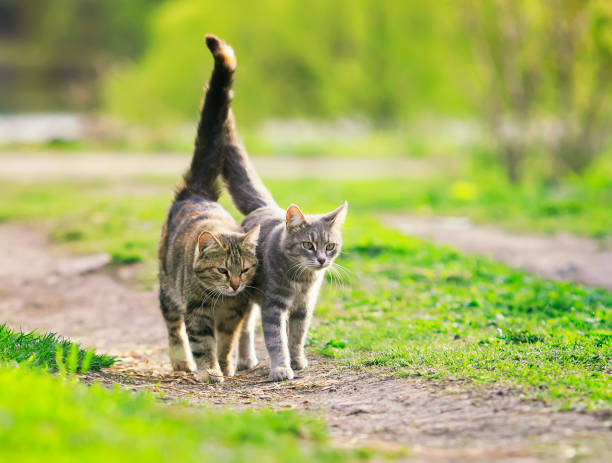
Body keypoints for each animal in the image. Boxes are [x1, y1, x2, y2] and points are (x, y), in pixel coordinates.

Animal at [157, 35, 260, 384]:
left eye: (245, 269)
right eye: (222, 270)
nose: (235, 285)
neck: (222, 299)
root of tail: (197, 191)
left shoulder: (236, 311)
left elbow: (226, 342)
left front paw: (226, 365)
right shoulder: (197, 310)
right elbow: (203, 343)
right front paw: (210, 371)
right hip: (167, 288)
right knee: (173, 327)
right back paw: (181, 362)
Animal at [209, 35, 350, 380]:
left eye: (330, 246)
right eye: (309, 245)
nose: (322, 259)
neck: (303, 282)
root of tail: (264, 207)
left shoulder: (303, 308)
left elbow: (297, 337)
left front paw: (298, 361)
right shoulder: (274, 305)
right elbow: (276, 340)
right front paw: (281, 368)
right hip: (244, 292)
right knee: (245, 329)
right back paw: (246, 360)